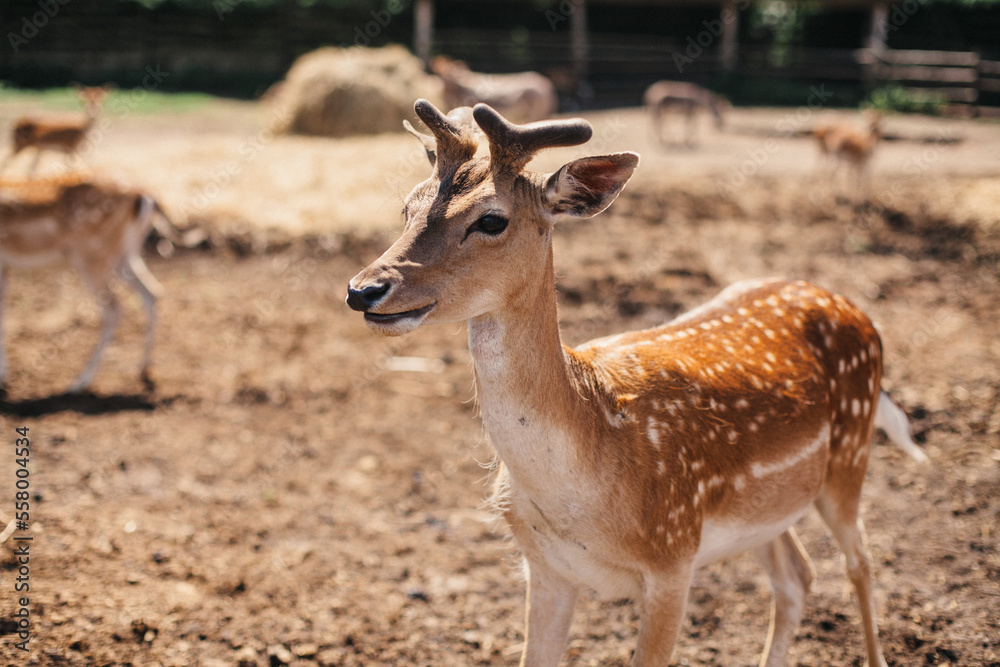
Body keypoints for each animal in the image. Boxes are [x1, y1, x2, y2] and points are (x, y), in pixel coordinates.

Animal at [348, 99, 924, 667]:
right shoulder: (545, 567)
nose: (363, 289)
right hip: (769, 507)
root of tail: (852, 308)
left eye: (491, 219)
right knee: (797, 576)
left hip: (849, 457)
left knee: (860, 563)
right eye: (407, 207)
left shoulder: (673, 558)